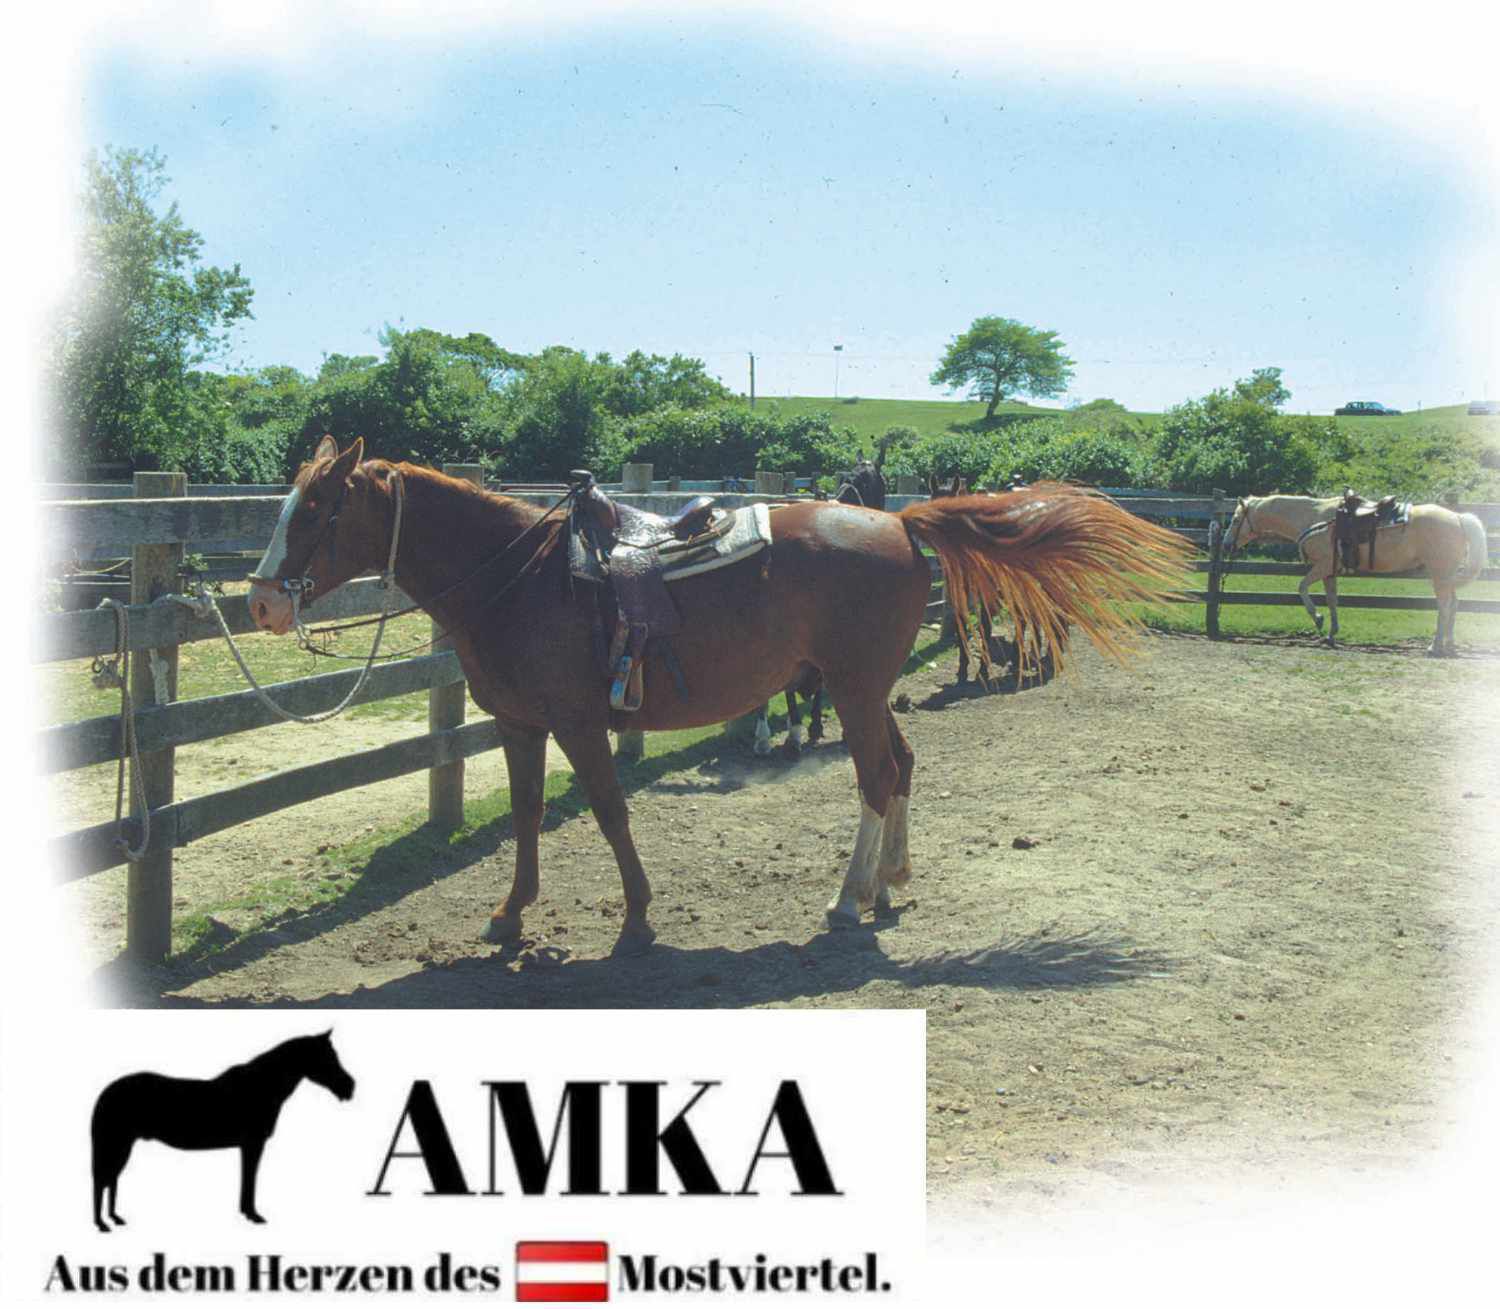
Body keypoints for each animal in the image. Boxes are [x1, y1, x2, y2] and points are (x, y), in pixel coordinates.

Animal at [90, 1031, 355, 1232]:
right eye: (328, 1058)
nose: (350, 1087)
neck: (260, 1087)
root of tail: (105, 1093)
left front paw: (247, 1213)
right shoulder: (253, 1144)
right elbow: (249, 1179)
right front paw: (253, 1215)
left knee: (111, 1180)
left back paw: (114, 1219)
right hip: (116, 1144)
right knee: (102, 1180)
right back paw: (102, 1224)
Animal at [247, 436, 1189, 951]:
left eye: (318, 508)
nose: (258, 602)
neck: (519, 575)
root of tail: (898, 522)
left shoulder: (580, 724)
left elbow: (609, 811)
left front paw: (636, 918)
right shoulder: (520, 725)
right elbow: (524, 815)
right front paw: (510, 915)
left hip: (852, 691)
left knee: (877, 777)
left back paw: (847, 898)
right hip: (867, 690)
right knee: (904, 766)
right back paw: (889, 881)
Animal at [1224, 493, 1489, 653]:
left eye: (1236, 519)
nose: (1226, 544)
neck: (1314, 519)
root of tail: (1458, 517)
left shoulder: (1321, 566)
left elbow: (1301, 587)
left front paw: (1317, 618)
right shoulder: (1330, 572)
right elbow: (1332, 600)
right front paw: (1330, 634)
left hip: (1439, 575)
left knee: (1444, 606)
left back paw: (1435, 646)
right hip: (1446, 576)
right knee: (1454, 604)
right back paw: (1450, 644)